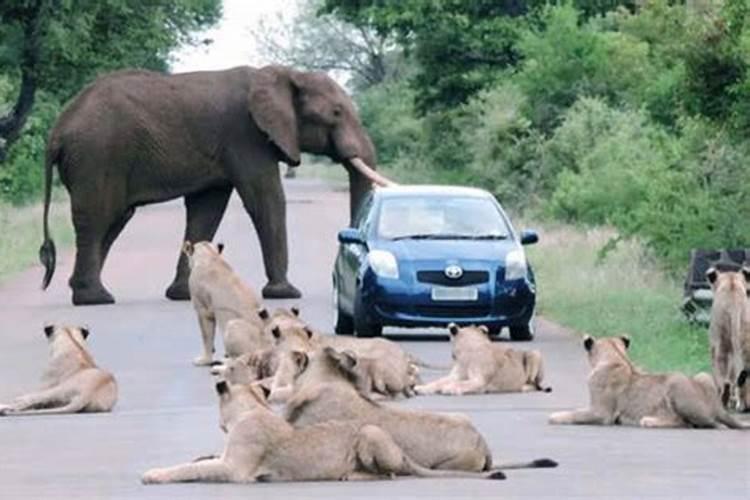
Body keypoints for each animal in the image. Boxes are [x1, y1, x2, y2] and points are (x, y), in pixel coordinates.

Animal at [39, 66, 394, 304]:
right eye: (336, 113)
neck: (284, 73)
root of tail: (57, 129)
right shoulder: (246, 137)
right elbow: (266, 200)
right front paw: (285, 294)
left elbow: (207, 210)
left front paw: (183, 294)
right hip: (97, 155)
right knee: (99, 217)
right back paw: (96, 299)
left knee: (112, 220)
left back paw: (84, 292)